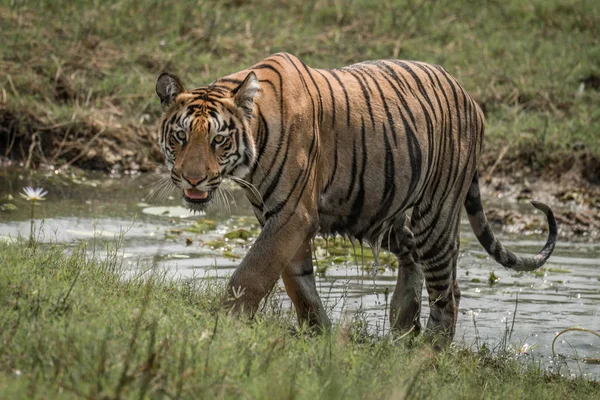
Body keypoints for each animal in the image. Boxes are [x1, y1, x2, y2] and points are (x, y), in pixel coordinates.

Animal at [155, 52, 556, 346]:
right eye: (179, 136)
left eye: (219, 140)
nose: (193, 178)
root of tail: (469, 96)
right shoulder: (282, 218)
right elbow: (299, 282)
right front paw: (320, 333)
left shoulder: (291, 216)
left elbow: (250, 274)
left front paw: (219, 325)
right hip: (374, 210)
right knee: (415, 255)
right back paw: (404, 326)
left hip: (435, 212)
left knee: (446, 289)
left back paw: (429, 351)